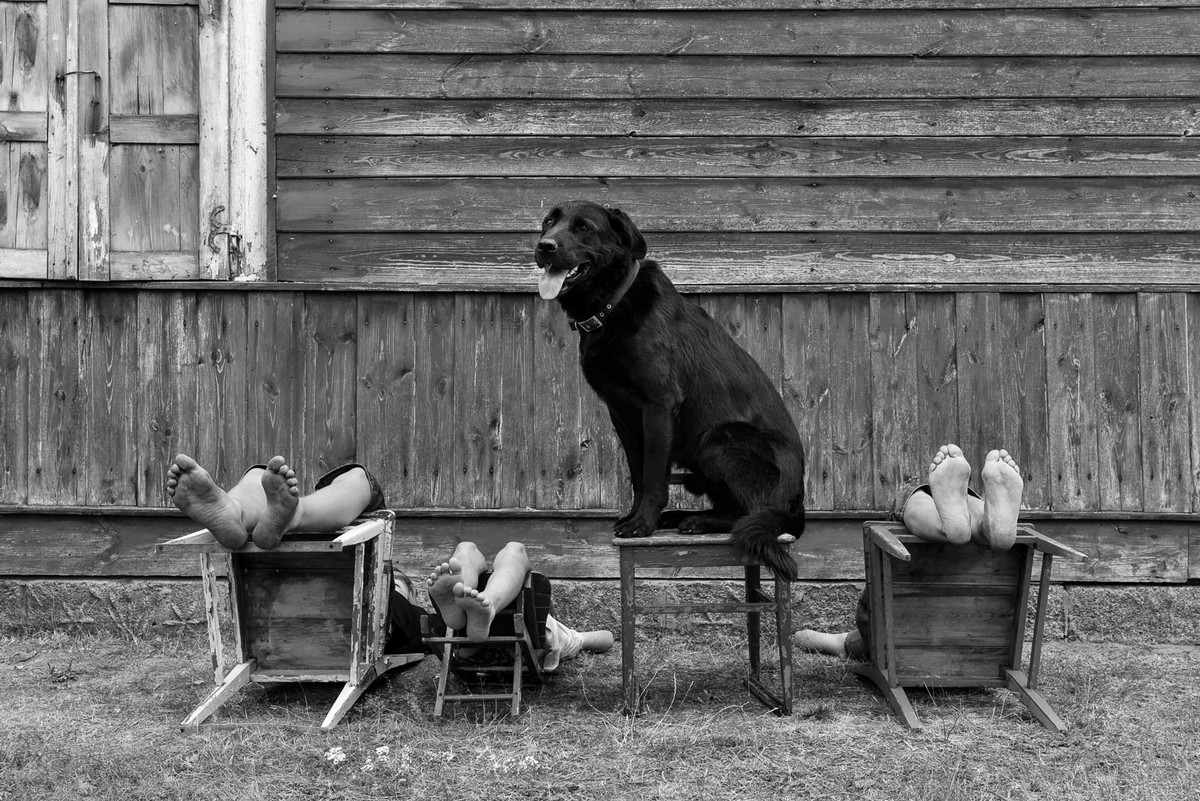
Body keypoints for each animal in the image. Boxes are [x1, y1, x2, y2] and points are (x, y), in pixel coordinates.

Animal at [535, 197, 806, 577]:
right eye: (549, 222)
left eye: (583, 227)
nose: (544, 246)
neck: (613, 302)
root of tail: (797, 505)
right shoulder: (621, 413)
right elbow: (638, 474)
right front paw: (635, 517)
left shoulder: (659, 404)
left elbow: (652, 474)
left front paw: (642, 525)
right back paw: (683, 517)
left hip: (721, 439)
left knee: (748, 516)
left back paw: (697, 521)